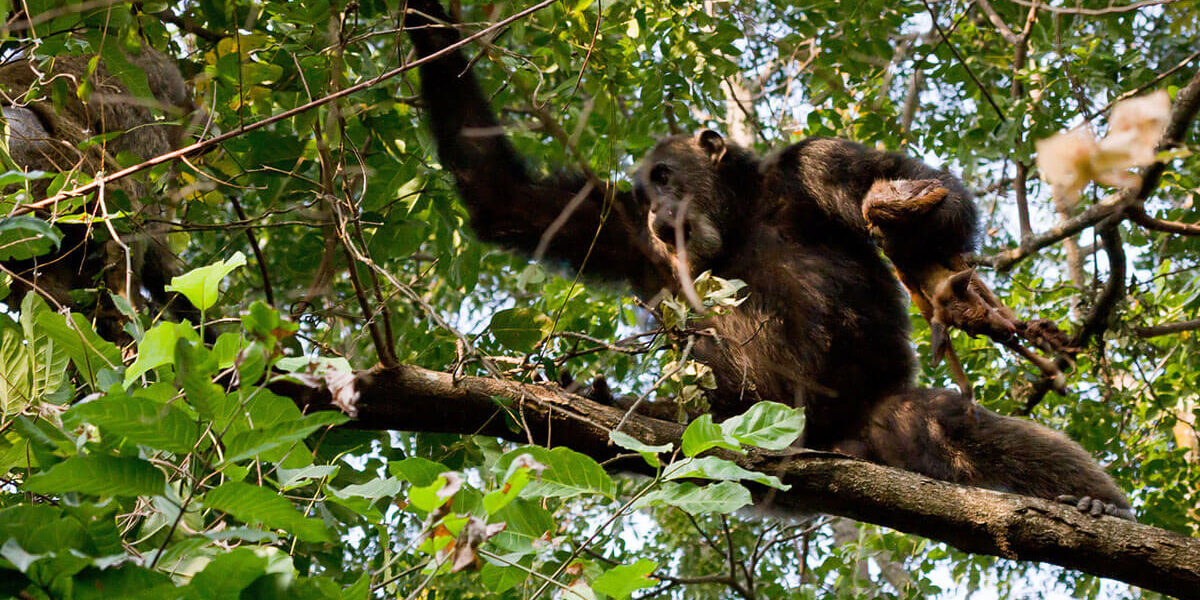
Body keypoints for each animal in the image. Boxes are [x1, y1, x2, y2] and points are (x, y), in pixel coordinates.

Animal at [403, 0, 1132, 520]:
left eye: (663, 175)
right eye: (640, 192)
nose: (655, 208)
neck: (739, 214)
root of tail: (832, 445)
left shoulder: (819, 162)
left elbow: (918, 190)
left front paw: (916, 234)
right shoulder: (623, 234)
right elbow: (504, 193)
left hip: (871, 423)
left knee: (945, 425)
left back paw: (1096, 505)